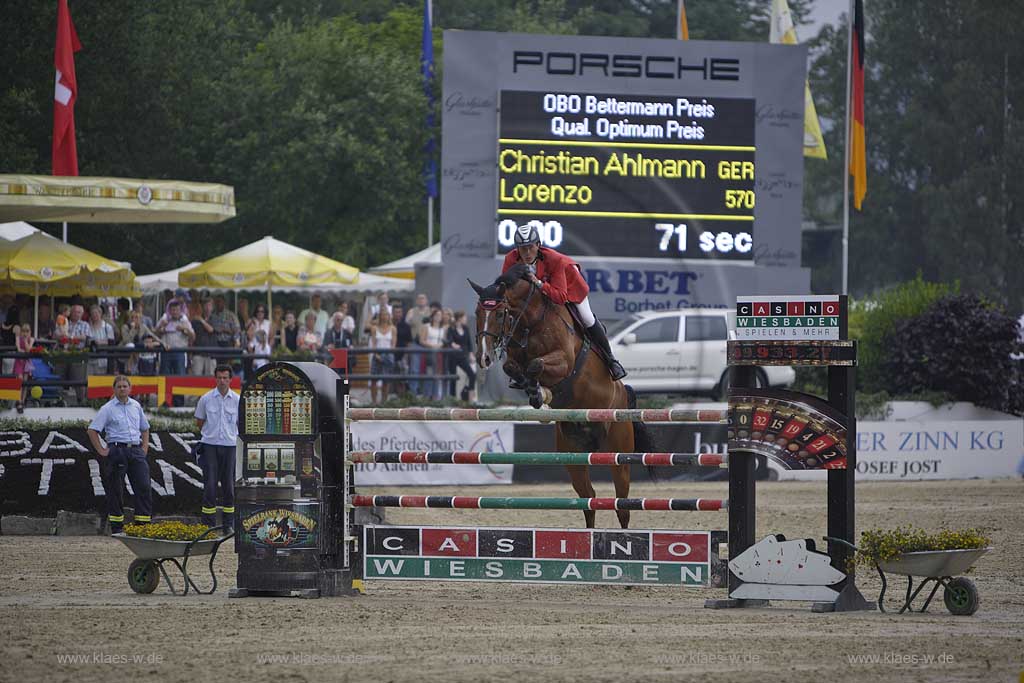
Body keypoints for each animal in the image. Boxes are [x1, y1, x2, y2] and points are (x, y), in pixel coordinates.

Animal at [471, 264, 655, 532]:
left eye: (499, 314)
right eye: (477, 313)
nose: (483, 358)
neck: (530, 321)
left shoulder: (564, 361)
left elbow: (536, 365)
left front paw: (539, 392)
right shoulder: (515, 358)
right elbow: (513, 368)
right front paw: (535, 392)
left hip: (618, 454)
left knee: (622, 504)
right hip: (573, 456)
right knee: (588, 499)